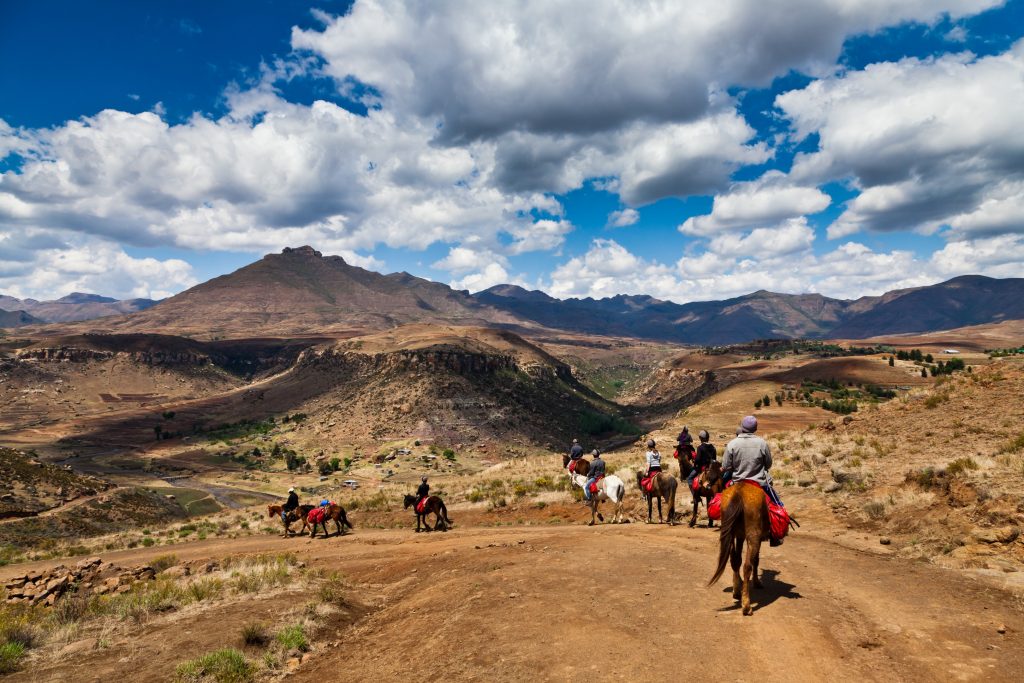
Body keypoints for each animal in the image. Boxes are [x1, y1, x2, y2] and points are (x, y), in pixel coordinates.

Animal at [712, 483, 770, 618]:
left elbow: (736, 559)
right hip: (753, 535)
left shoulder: (739, 535)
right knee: (747, 566)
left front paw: (737, 587)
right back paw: (747, 607)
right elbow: (756, 560)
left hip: (729, 532)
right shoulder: (757, 538)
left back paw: (737, 592)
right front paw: (757, 582)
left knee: (734, 560)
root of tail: (739, 492)